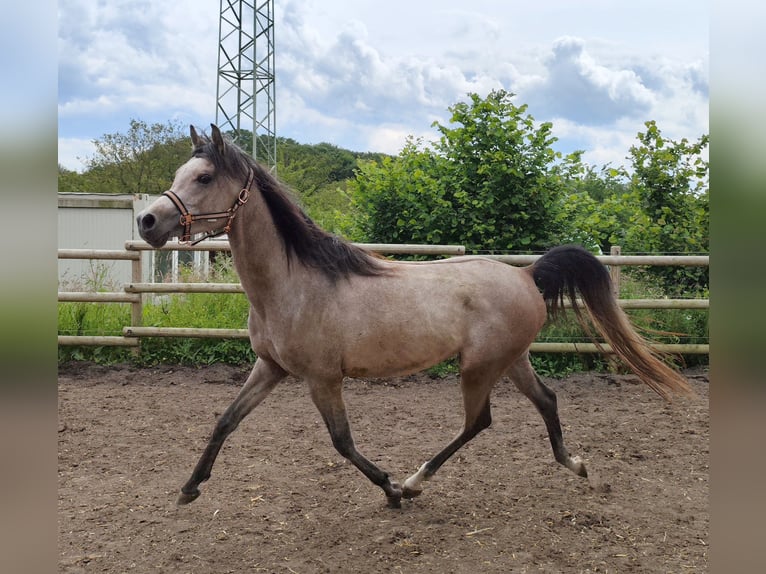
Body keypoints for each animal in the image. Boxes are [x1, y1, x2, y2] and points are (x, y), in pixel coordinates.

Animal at [135, 125, 692, 508]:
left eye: (204, 176)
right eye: (179, 175)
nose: (147, 221)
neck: (293, 285)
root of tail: (526, 275)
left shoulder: (322, 378)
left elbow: (342, 442)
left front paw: (389, 489)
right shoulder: (270, 368)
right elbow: (225, 421)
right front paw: (188, 489)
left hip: (479, 367)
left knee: (478, 421)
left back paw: (415, 481)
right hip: (511, 360)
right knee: (546, 401)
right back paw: (574, 465)